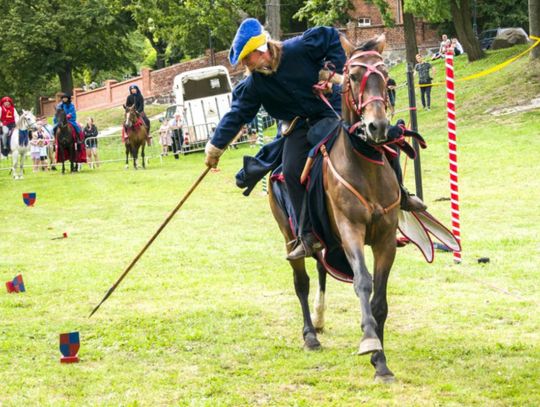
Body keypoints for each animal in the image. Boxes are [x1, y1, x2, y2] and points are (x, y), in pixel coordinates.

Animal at [270, 34, 400, 382]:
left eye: (386, 75)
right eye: (353, 76)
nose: (377, 127)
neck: (364, 166)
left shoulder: (385, 239)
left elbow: (379, 298)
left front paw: (381, 361)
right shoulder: (350, 230)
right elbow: (363, 282)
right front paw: (370, 341)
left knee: (320, 269)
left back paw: (319, 319)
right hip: (289, 234)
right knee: (301, 281)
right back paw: (309, 334)